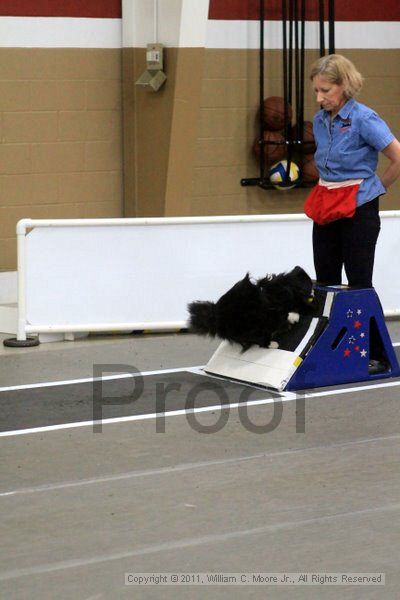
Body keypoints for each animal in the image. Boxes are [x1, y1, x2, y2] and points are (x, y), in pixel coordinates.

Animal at [188, 266, 316, 352]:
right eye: (308, 282)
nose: (314, 287)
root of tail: (215, 316)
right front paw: (293, 317)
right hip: (251, 327)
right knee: (260, 339)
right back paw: (273, 343)